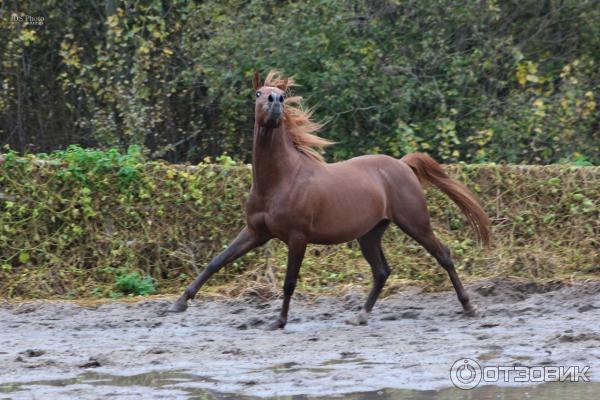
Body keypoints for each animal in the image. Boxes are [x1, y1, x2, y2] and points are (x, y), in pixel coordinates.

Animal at [168, 71, 488, 328]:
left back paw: (469, 307)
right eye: (258, 93)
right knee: (382, 271)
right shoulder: (256, 232)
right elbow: (216, 261)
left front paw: (279, 321)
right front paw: (180, 303)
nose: (275, 101)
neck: (279, 181)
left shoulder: (297, 237)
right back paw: (360, 316)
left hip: (415, 223)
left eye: (283, 95)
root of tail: (401, 164)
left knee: (443, 255)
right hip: (370, 233)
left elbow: (289, 282)